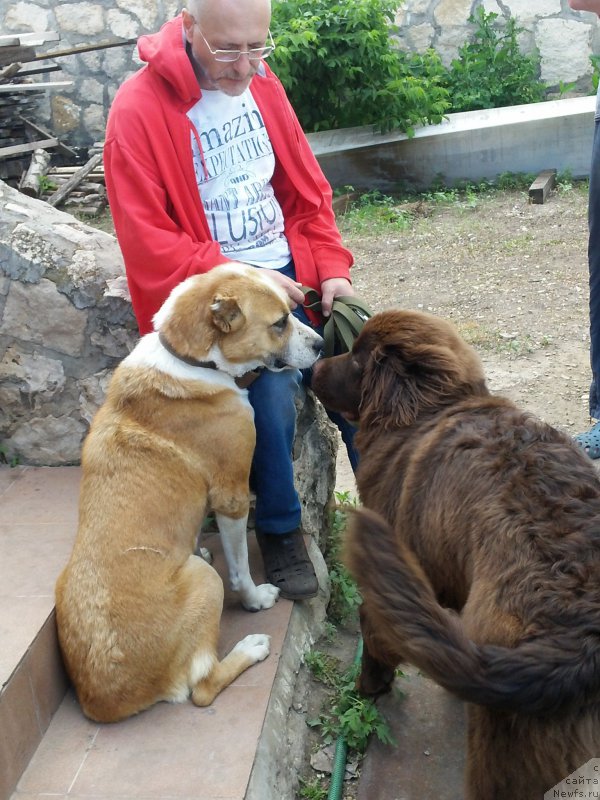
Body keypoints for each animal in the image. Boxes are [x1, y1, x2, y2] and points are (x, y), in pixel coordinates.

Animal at [56, 264, 324, 724]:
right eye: (279, 323)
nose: (323, 344)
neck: (191, 359)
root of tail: (106, 698)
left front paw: (196, 544)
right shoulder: (232, 494)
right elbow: (240, 568)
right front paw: (255, 598)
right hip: (204, 584)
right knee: (202, 688)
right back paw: (251, 647)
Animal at [312, 310, 600, 800]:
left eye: (355, 357)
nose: (311, 365)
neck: (432, 410)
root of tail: (582, 642)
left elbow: (378, 643)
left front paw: (368, 688)